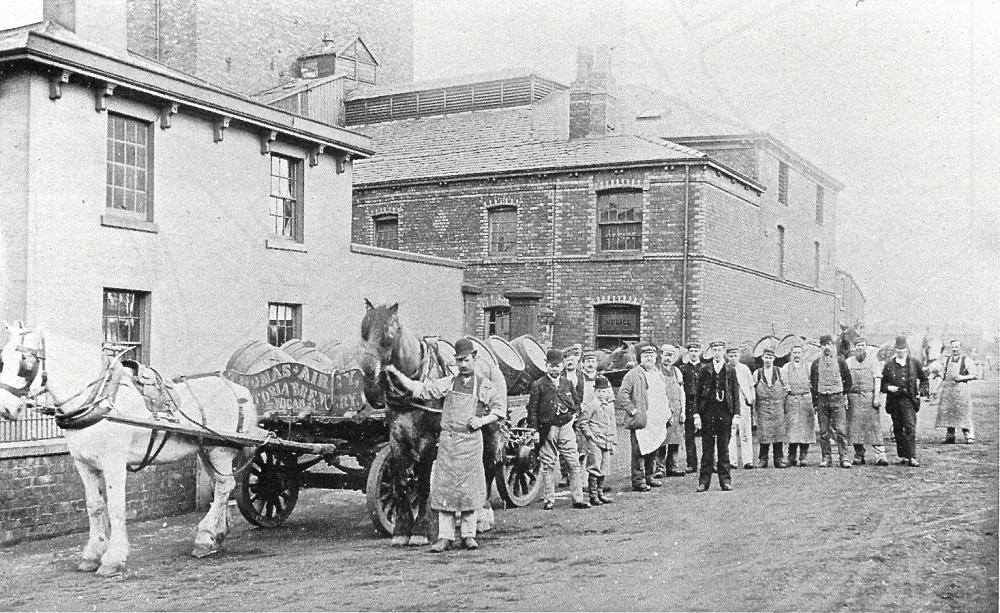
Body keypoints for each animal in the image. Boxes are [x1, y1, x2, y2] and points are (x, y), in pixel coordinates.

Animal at [0, 322, 256, 576]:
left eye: (25, 361)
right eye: (2, 360)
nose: (5, 409)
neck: (100, 400)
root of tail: (240, 390)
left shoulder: (113, 462)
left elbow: (115, 507)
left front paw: (113, 558)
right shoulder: (83, 463)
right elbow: (95, 506)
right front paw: (92, 554)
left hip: (219, 450)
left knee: (224, 486)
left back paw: (204, 537)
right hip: (208, 450)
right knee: (220, 486)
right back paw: (217, 533)